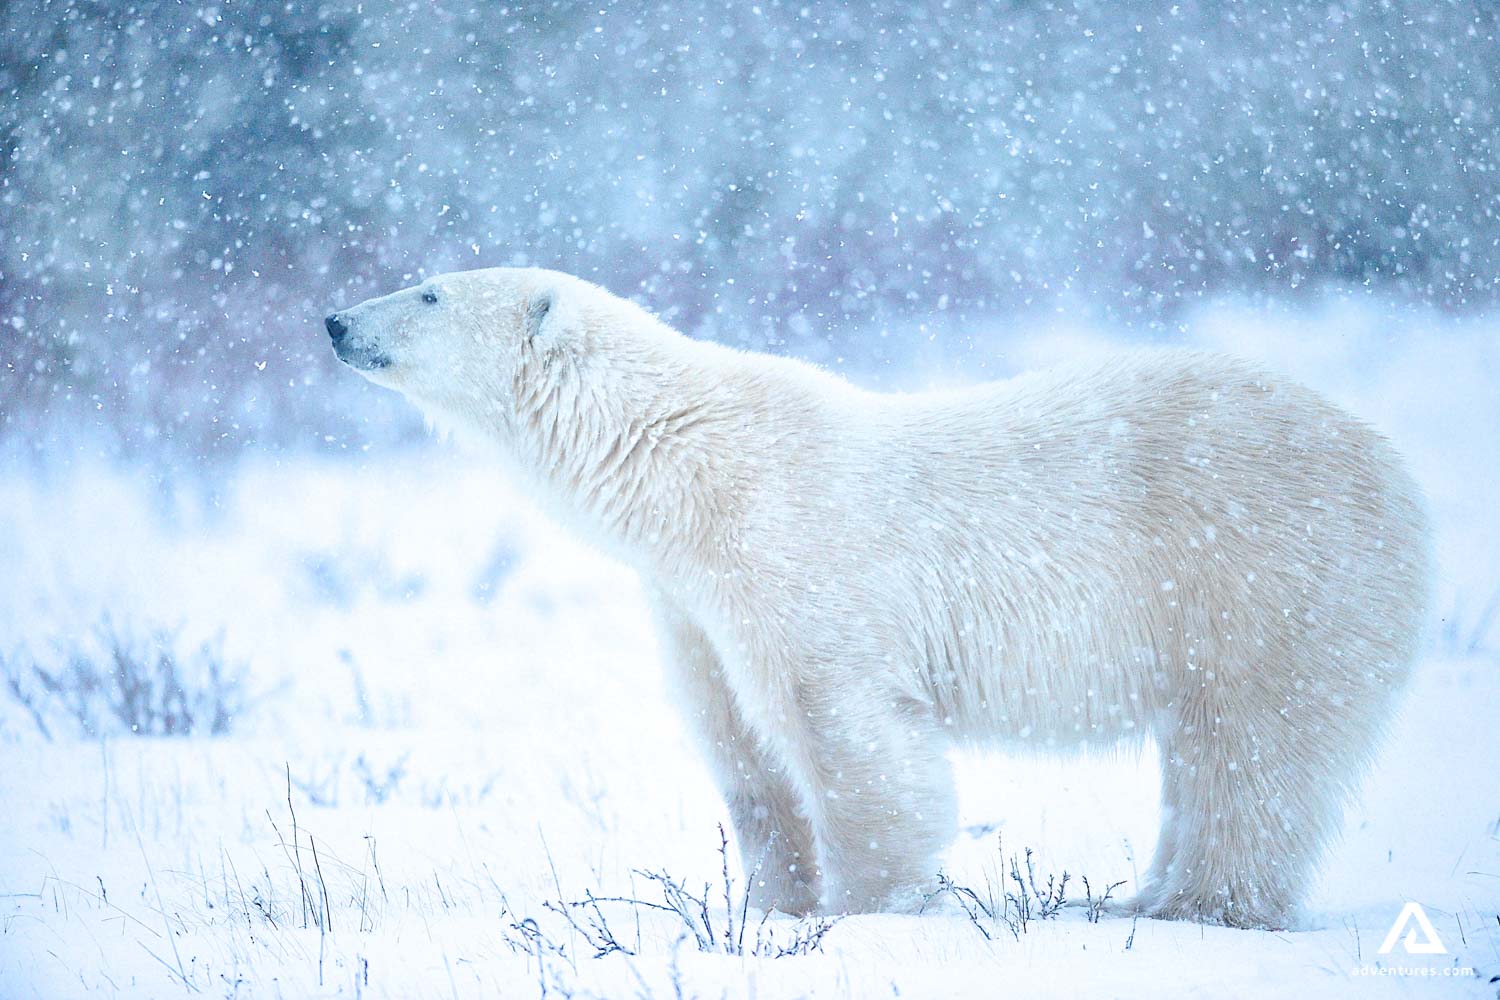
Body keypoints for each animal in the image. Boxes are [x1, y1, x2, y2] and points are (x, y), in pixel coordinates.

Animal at [326, 267, 1430, 929]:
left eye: (428, 292)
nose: (335, 319)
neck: (684, 472)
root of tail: (1394, 468)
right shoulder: (689, 608)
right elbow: (743, 753)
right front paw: (770, 905)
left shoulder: (795, 563)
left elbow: (848, 741)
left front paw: (868, 909)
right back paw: (1142, 895)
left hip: (1270, 575)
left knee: (1256, 747)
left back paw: (1199, 904)